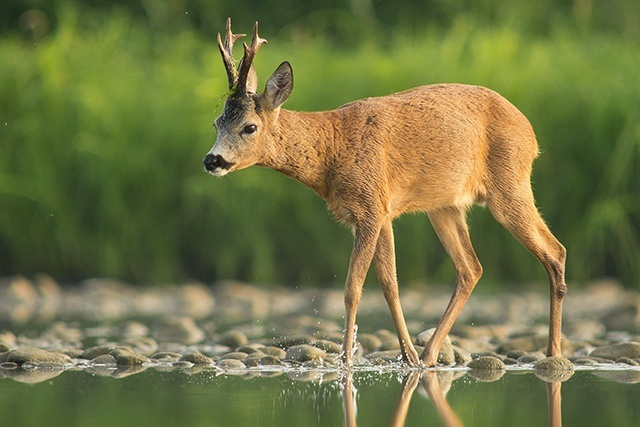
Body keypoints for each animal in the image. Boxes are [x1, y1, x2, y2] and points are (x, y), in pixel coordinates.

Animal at [204, 19, 564, 368]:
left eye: (249, 126)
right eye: (217, 122)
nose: (211, 160)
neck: (331, 149)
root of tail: (531, 134)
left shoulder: (370, 208)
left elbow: (353, 288)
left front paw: (347, 360)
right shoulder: (380, 211)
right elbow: (390, 284)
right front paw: (409, 358)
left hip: (509, 184)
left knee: (554, 251)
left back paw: (553, 351)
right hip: (445, 206)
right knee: (471, 268)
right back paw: (431, 354)